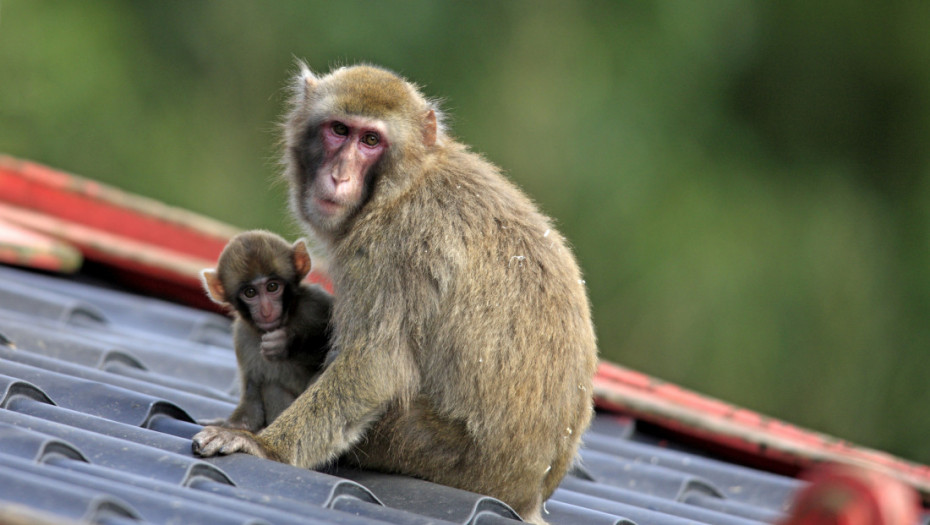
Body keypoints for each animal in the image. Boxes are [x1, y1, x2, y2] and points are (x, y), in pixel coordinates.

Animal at [199, 229, 334, 430]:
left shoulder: (316, 302)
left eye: (272, 287)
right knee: (271, 387)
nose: (266, 310)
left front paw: (285, 343)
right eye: (250, 293)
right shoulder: (243, 337)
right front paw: (228, 427)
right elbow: (250, 410)